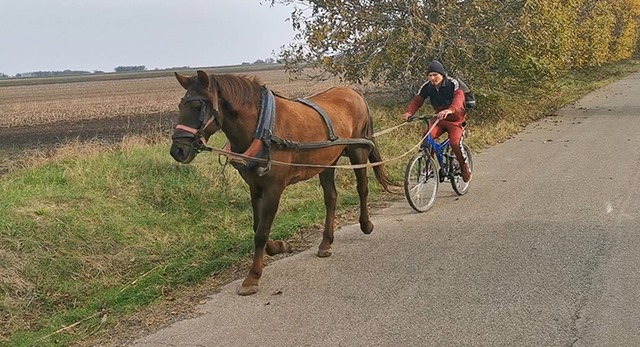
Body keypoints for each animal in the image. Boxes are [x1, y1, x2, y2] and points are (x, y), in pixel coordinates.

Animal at [170, 70, 396, 296]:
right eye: (180, 106)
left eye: (198, 106)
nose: (177, 151)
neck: (262, 126)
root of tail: (355, 94)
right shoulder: (255, 187)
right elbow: (257, 226)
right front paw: (280, 247)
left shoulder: (274, 189)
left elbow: (261, 232)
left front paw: (252, 277)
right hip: (327, 162)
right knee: (331, 198)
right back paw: (325, 243)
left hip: (358, 151)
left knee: (362, 188)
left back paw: (366, 224)